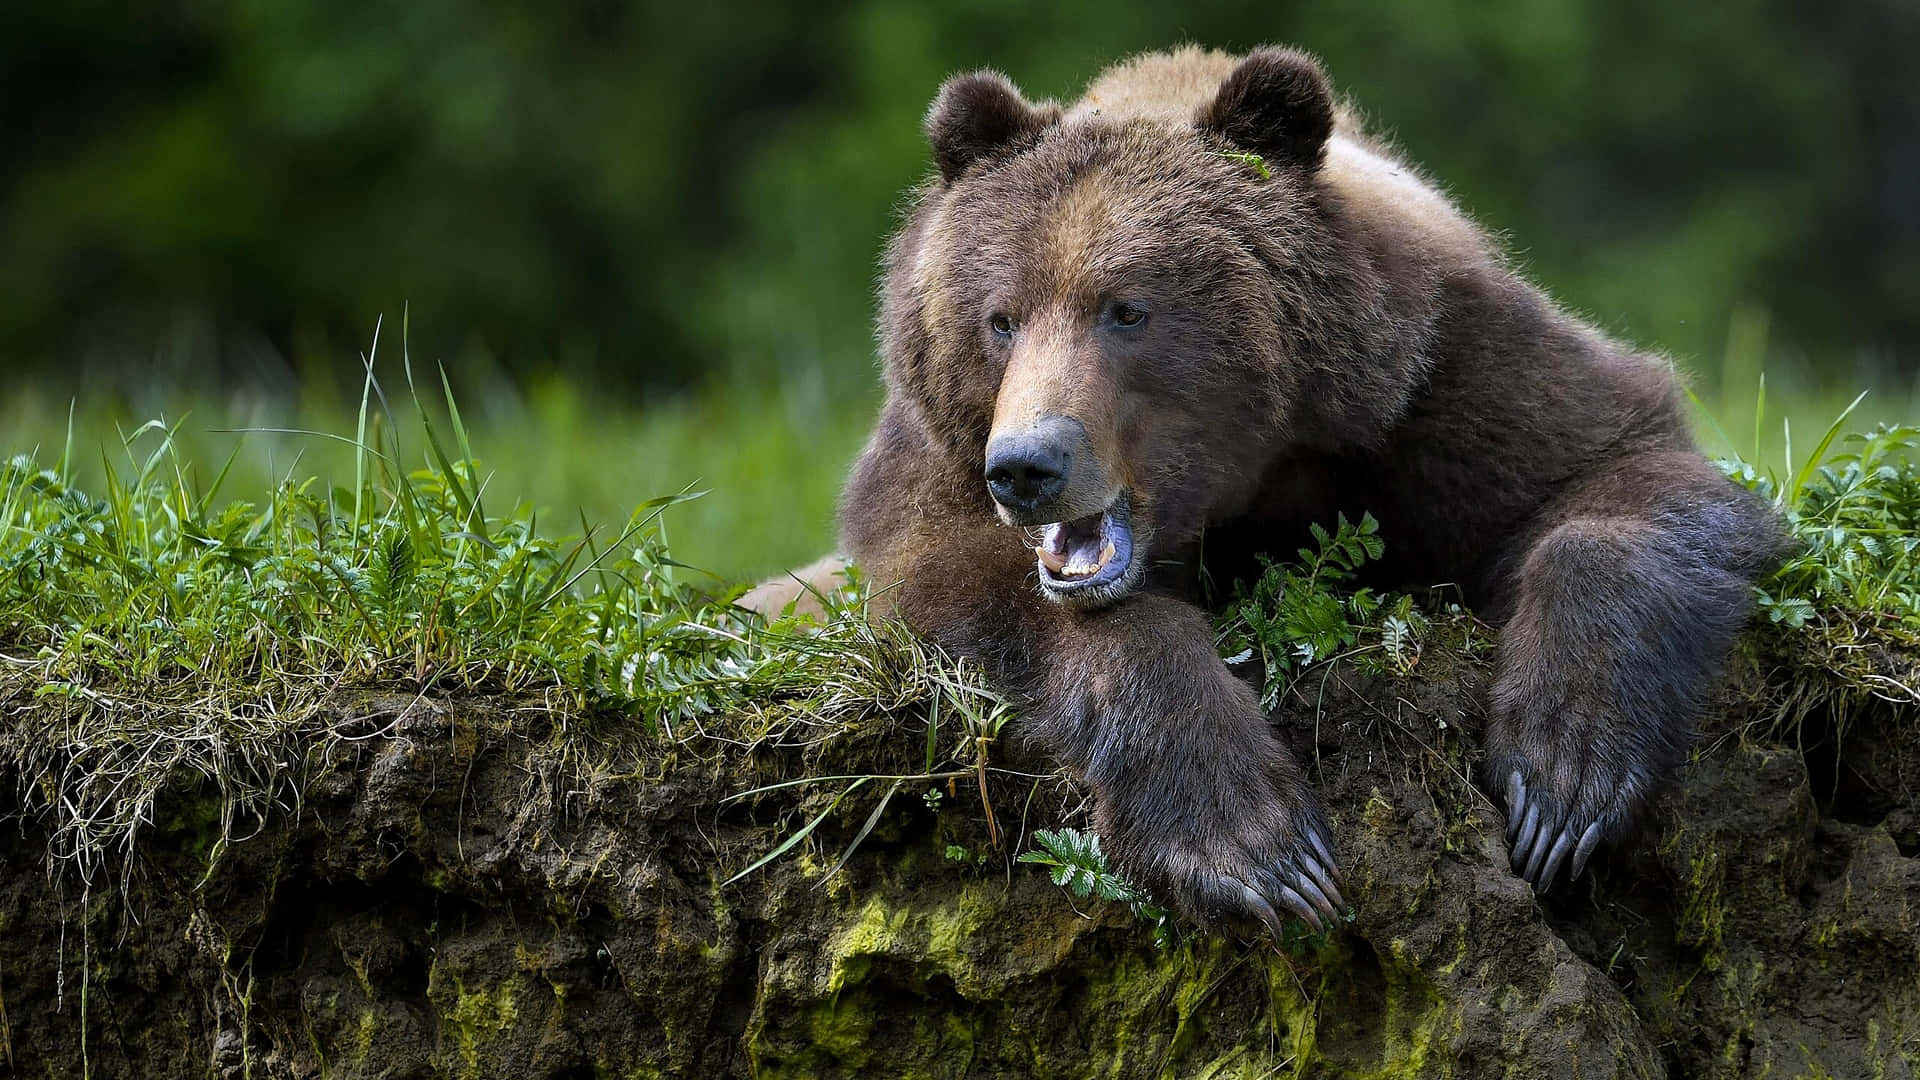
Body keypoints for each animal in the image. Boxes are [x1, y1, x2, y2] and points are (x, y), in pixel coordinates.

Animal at [759, 45, 1787, 933]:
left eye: (1127, 310)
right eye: (999, 318)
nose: (1026, 467)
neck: (1257, 471)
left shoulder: (1447, 380)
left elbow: (1617, 471)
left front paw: (1564, 777)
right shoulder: (931, 462)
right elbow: (968, 583)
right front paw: (1256, 844)